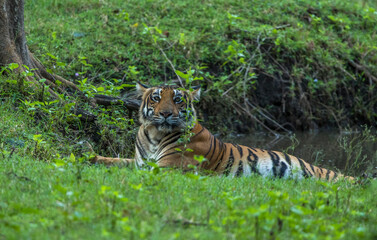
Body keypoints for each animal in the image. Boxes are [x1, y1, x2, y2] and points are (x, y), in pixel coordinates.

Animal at [91, 83, 352, 181]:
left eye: (177, 99)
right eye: (156, 98)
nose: (165, 113)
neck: (155, 136)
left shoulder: (168, 167)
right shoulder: (140, 162)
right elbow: (115, 161)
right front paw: (90, 157)